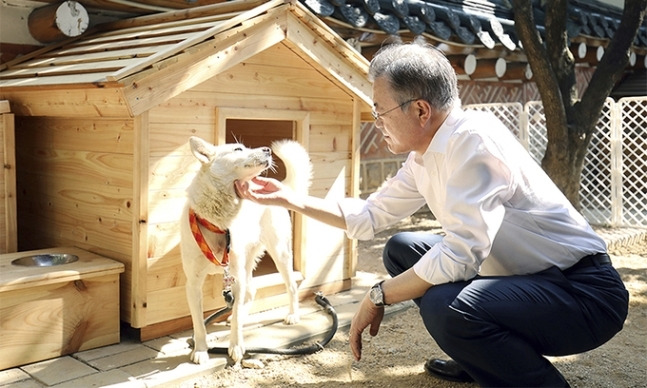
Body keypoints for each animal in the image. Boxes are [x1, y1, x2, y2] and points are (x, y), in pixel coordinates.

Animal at [180, 136, 312, 366]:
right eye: (238, 149)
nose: (267, 150)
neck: (218, 223)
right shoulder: (193, 284)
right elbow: (198, 323)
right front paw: (201, 350)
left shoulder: (236, 277)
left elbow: (236, 321)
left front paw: (236, 346)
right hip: (248, 260)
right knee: (250, 291)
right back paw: (237, 314)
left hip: (279, 253)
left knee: (291, 286)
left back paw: (292, 315)